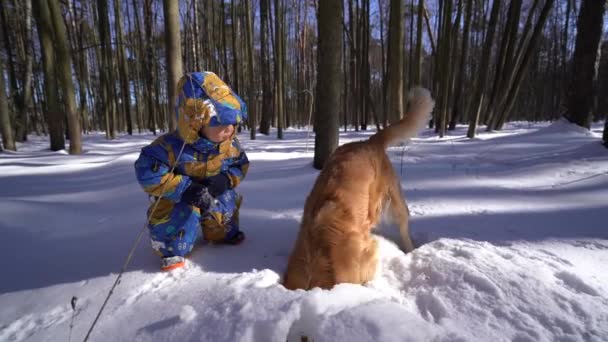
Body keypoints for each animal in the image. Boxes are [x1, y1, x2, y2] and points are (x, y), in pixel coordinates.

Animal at [282, 87, 434, 288]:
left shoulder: (364, 255)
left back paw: (409, 249)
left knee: (403, 223)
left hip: (393, 197)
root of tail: (368, 141)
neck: (318, 245)